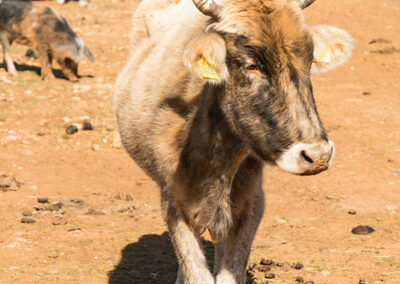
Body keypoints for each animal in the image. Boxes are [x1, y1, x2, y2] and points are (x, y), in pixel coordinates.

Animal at [114, 1, 352, 282]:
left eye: (308, 60)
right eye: (251, 65)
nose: (318, 156)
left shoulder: (251, 204)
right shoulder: (173, 204)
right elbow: (196, 272)